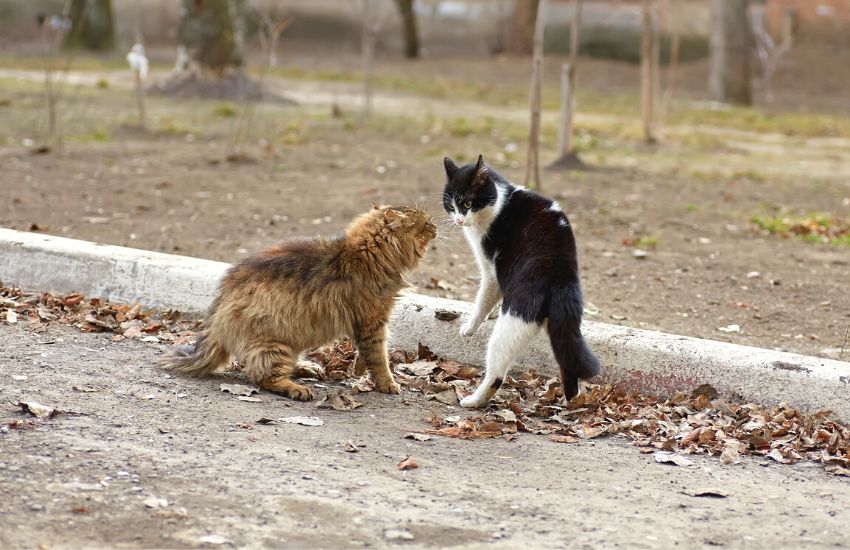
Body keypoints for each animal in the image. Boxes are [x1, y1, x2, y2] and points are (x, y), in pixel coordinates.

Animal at [160, 206, 438, 402]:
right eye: (425, 223)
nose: (436, 226)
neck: (365, 255)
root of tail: (217, 313)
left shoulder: (368, 323)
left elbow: (366, 353)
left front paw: (359, 371)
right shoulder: (372, 320)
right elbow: (379, 356)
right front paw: (388, 384)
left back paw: (307, 368)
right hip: (274, 343)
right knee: (262, 376)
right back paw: (297, 388)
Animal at [440, 155, 600, 410]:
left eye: (466, 204)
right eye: (451, 205)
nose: (458, 220)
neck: (499, 202)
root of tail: (561, 274)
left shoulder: (491, 270)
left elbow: (484, 298)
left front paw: (471, 326)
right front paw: (491, 313)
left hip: (513, 320)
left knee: (497, 372)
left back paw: (473, 401)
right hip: (563, 325)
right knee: (567, 357)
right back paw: (571, 400)